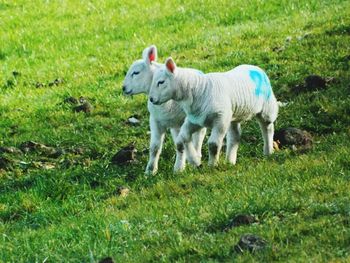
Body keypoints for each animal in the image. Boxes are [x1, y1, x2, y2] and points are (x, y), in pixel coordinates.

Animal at [122, 46, 205, 174]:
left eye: (136, 72)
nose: (123, 88)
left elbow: (182, 144)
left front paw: (179, 168)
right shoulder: (156, 121)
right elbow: (155, 147)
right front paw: (150, 170)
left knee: (199, 136)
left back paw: (196, 154)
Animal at [148, 57, 278, 171]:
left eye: (161, 82)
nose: (151, 99)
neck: (199, 89)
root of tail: (255, 67)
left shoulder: (220, 119)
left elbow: (213, 144)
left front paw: (212, 165)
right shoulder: (195, 120)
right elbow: (184, 138)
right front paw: (195, 161)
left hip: (267, 107)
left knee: (267, 127)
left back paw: (268, 151)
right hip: (233, 114)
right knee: (235, 136)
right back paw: (230, 161)